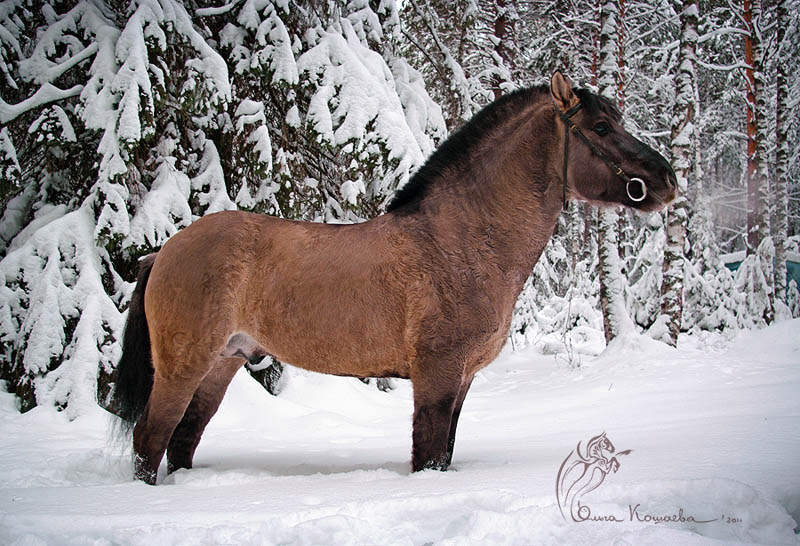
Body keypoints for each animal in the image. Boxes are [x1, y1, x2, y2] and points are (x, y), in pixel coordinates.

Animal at [112, 71, 676, 480]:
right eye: (600, 128)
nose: (666, 180)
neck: (462, 241)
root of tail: (164, 251)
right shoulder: (437, 374)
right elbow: (428, 455)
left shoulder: (462, 380)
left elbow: (443, 453)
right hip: (184, 366)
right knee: (150, 439)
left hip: (222, 364)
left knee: (183, 440)